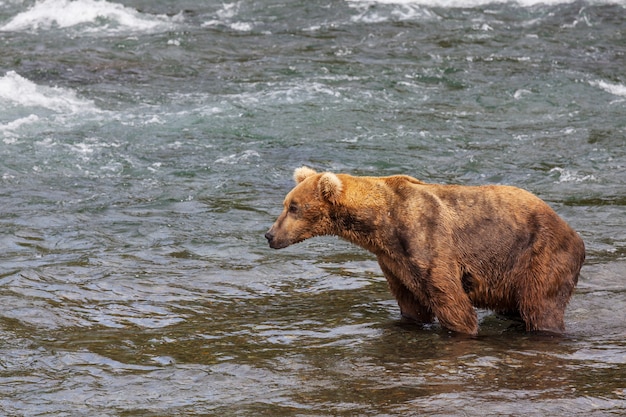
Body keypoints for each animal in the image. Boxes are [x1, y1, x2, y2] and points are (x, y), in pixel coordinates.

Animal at [264, 166, 584, 334]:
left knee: (540, 307)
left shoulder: (426, 241)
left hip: (539, 256)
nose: (269, 235)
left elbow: (451, 301)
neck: (381, 223)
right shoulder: (393, 261)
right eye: (285, 204)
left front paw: (462, 328)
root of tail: (575, 234)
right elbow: (411, 303)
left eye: (293, 207)